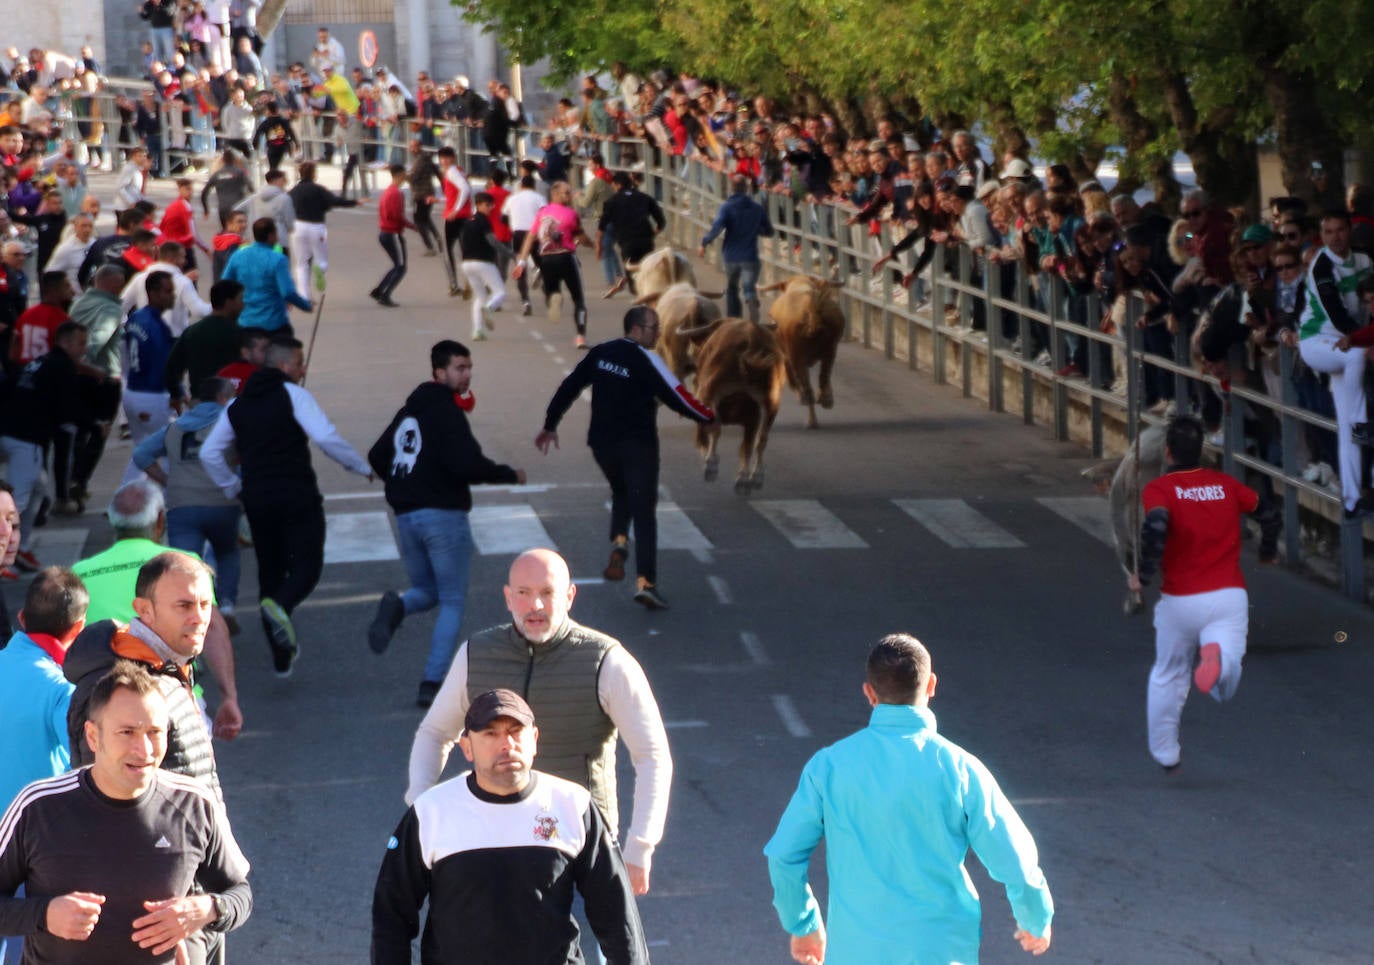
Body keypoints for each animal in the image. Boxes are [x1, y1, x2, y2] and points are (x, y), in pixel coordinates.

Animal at [697, 318, 785, 494]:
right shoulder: (753, 417)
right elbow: (747, 445)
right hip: (772, 402)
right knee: (761, 439)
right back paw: (753, 478)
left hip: (711, 390)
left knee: (716, 427)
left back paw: (711, 466)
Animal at [763, 273, 846, 428]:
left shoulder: (788, 356)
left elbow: (793, 379)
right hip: (830, 350)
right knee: (824, 375)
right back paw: (824, 401)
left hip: (797, 357)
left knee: (807, 387)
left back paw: (809, 407)